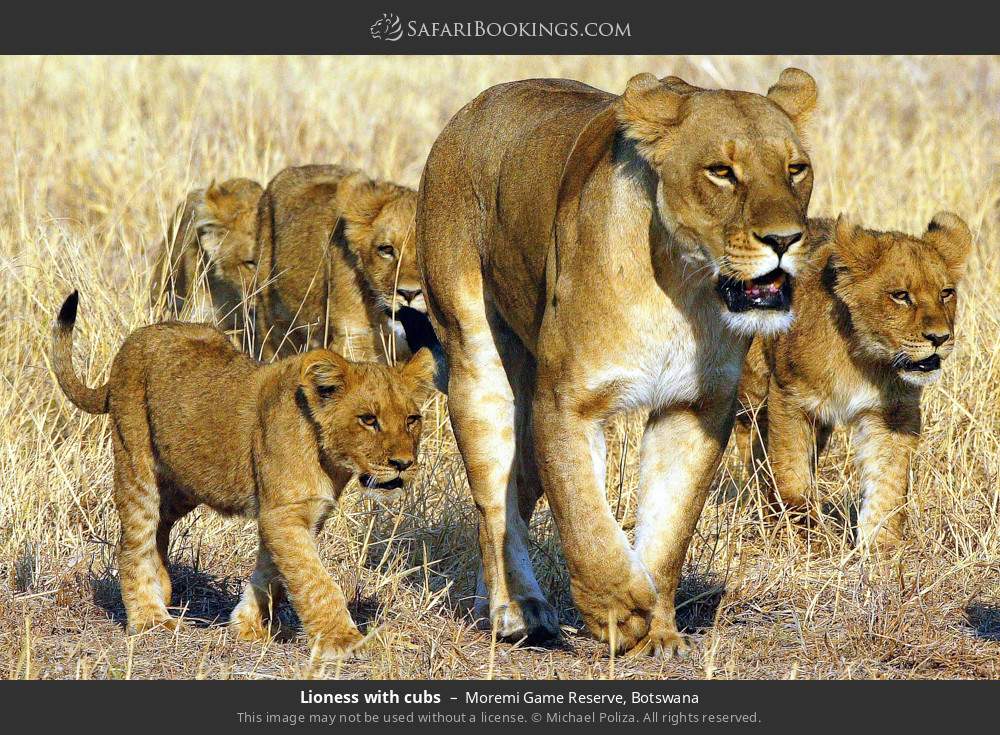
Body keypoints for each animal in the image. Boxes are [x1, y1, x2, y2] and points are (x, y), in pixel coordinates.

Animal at [51, 290, 435, 658]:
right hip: (136, 461)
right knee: (134, 541)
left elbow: (272, 574)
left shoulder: (296, 514)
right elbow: (315, 581)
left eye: (412, 420)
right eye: (368, 420)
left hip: (186, 481)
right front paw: (342, 639)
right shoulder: (284, 515)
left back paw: (163, 587)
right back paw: (149, 618)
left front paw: (248, 626)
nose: (403, 463)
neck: (331, 460)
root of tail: (137, 336)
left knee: (160, 526)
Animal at [416, 68, 817, 654]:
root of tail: (472, 109)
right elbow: (587, 519)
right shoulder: (567, 402)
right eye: (721, 172)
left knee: (516, 493)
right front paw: (620, 611)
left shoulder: (696, 406)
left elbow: (669, 528)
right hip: (477, 360)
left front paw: (661, 633)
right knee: (494, 505)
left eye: (795, 169)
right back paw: (517, 613)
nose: (785, 240)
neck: (683, 286)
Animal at [734, 213, 972, 548]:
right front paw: (804, 538)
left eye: (946, 293)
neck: (866, 359)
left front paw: (881, 548)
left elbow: (888, 483)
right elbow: (790, 471)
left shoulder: (892, 415)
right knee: (751, 439)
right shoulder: (790, 396)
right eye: (901, 296)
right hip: (753, 389)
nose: (939, 338)